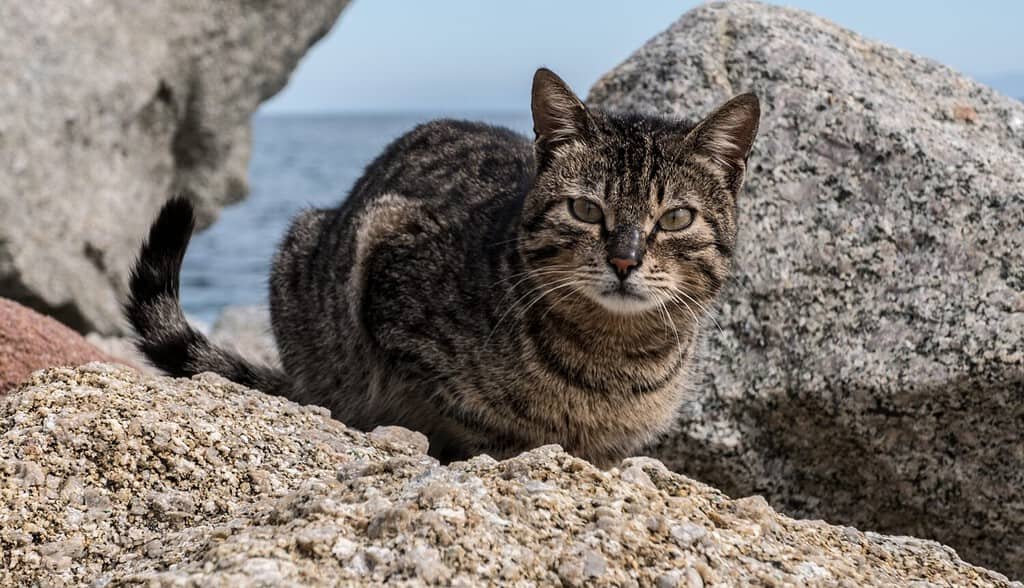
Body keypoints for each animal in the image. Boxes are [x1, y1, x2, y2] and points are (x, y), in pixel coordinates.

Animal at [125, 69, 761, 467]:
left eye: (675, 217)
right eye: (585, 209)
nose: (625, 258)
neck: (613, 359)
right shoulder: (389, 267)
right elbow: (471, 417)